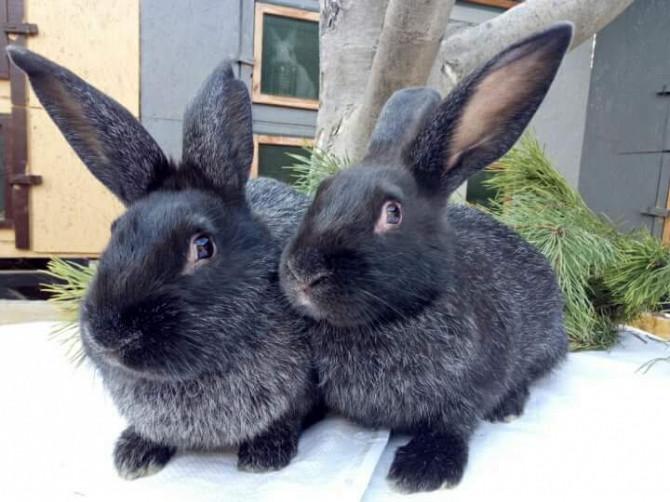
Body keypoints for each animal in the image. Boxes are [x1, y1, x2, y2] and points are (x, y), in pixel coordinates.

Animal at [7, 47, 318, 479]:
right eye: (114, 229)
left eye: (203, 246)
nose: (110, 337)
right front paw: (134, 454)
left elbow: (290, 415)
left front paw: (265, 453)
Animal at [279, 23, 573, 493]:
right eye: (322, 192)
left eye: (392, 213)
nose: (303, 273)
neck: (391, 320)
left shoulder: (474, 381)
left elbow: (455, 420)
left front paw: (423, 468)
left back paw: (508, 406)